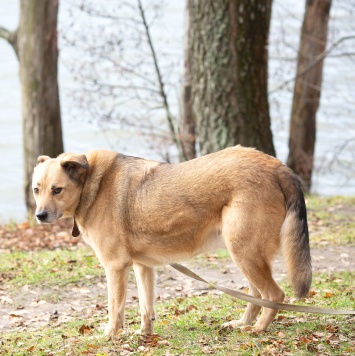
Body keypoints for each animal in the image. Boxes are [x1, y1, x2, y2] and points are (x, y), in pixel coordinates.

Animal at [32, 145, 312, 336]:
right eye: (36, 189)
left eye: (57, 190)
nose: (39, 216)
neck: (91, 183)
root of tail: (277, 166)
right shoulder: (142, 267)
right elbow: (146, 307)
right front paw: (143, 335)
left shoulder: (115, 267)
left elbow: (115, 308)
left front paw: (110, 336)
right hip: (246, 254)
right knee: (257, 295)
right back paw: (243, 323)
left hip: (244, 252)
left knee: (275, 294)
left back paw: (258, 329)